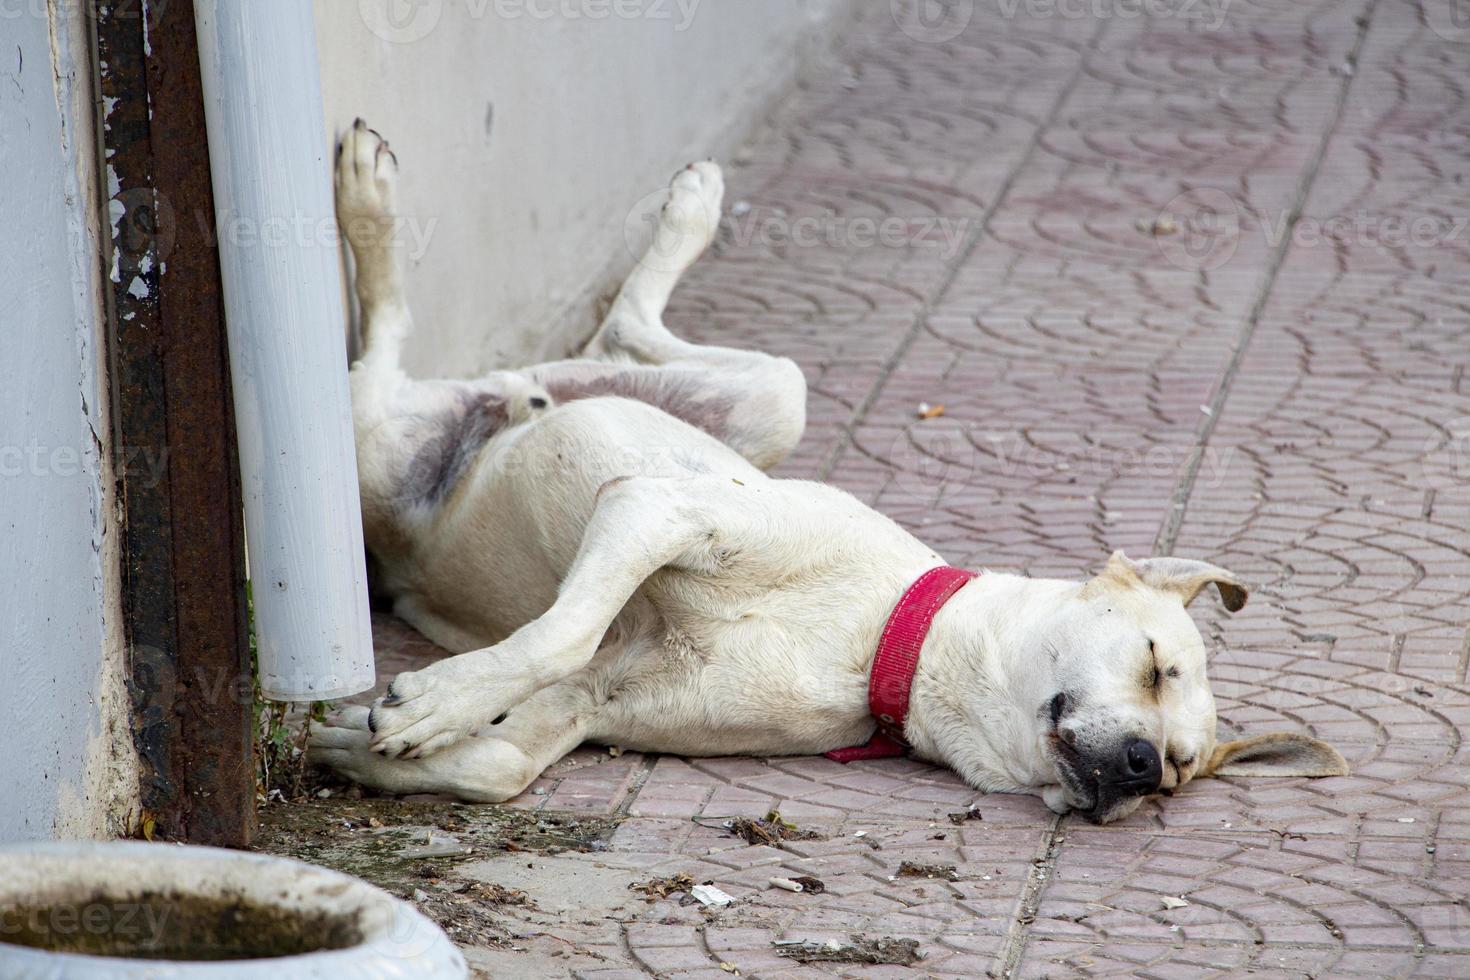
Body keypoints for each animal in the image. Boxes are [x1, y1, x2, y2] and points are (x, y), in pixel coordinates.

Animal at [310, 124, 1346, 828]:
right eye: (1155, 662)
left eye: (1176, 771)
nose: (1136, 766)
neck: (874, 641)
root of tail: (494, 397)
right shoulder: (653, 510)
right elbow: (558, 635)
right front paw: (434, 702)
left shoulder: (587, 706)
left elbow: (499, 762)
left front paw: (357, 743)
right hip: (381, 452)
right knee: (386, 336)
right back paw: (373, 194)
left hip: (756, 406)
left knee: (617, 336)